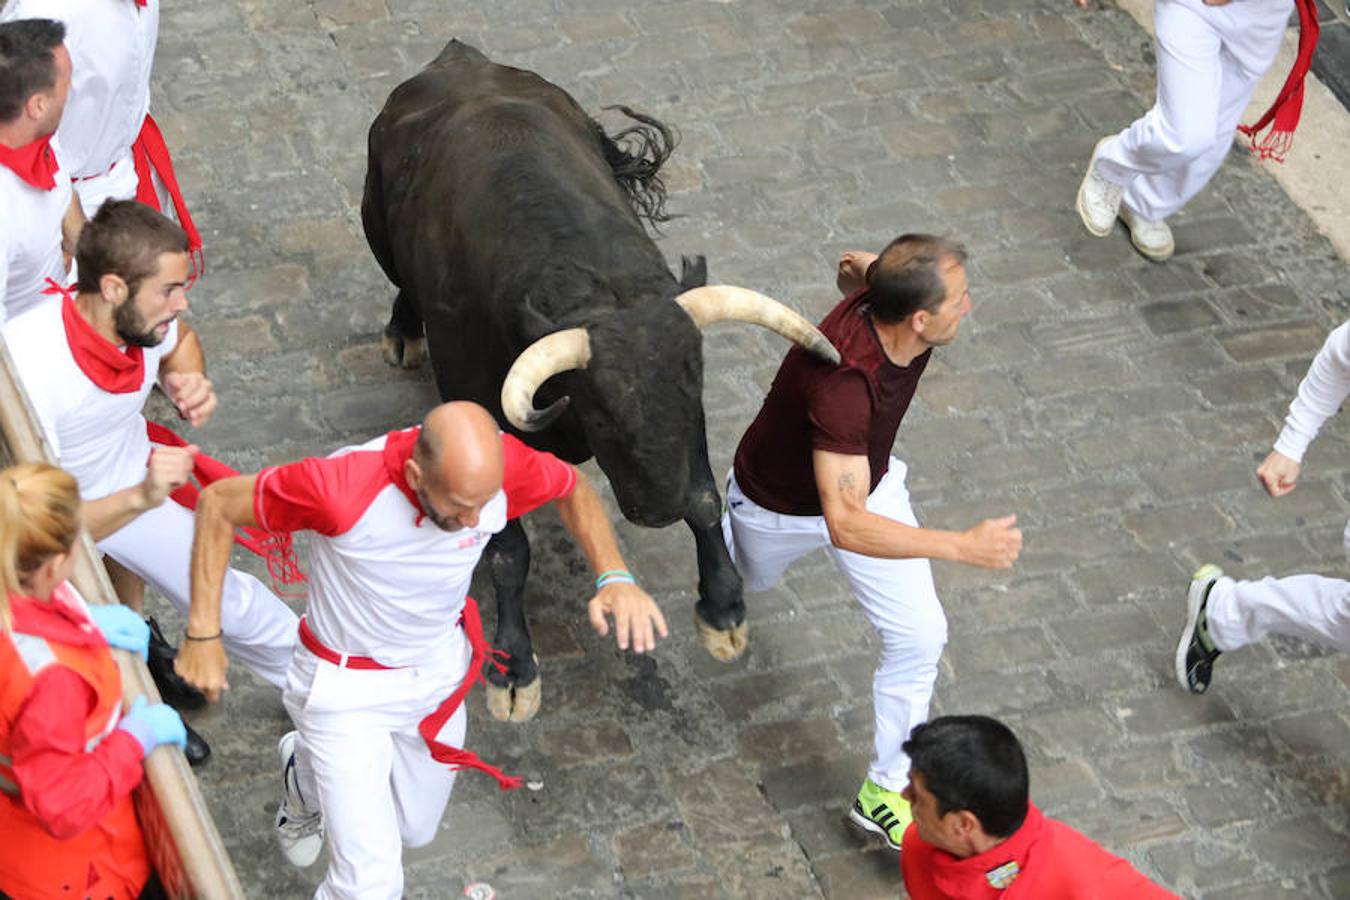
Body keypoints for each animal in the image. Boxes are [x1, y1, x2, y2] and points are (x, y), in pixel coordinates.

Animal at [364, 38, 837, 723]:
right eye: (604, 414)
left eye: (692, 391)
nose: (658, 508)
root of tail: (458, 58)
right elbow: (508, 551)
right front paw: (513, 669)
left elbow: (705, 496)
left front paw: (723, 610)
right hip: (376, 225)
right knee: (400, 279)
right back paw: (403, 331)